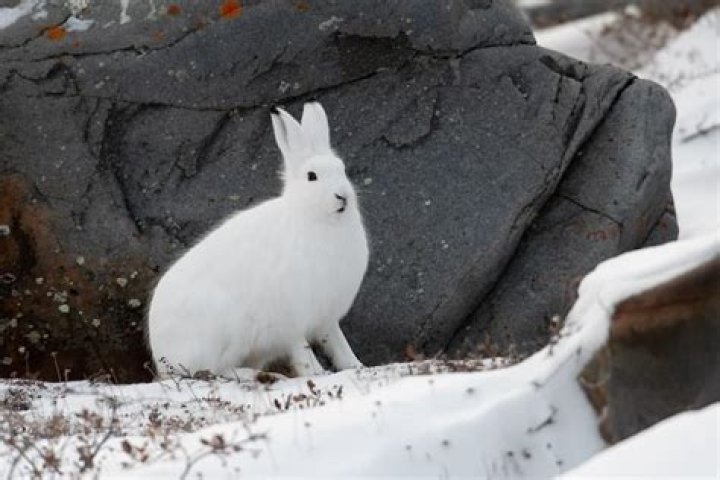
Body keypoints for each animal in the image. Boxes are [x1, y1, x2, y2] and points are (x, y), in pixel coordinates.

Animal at [147, 102, 369, 378]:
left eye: (342, 169)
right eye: (312, 176)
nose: (343, 196)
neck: (314, 218)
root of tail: (162, 359)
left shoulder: (326, 315)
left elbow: (338, 344)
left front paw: (356, 366)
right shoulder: (291, 317)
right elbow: (301, 350)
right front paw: (316, 373)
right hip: (226, 330)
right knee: (215, 371)